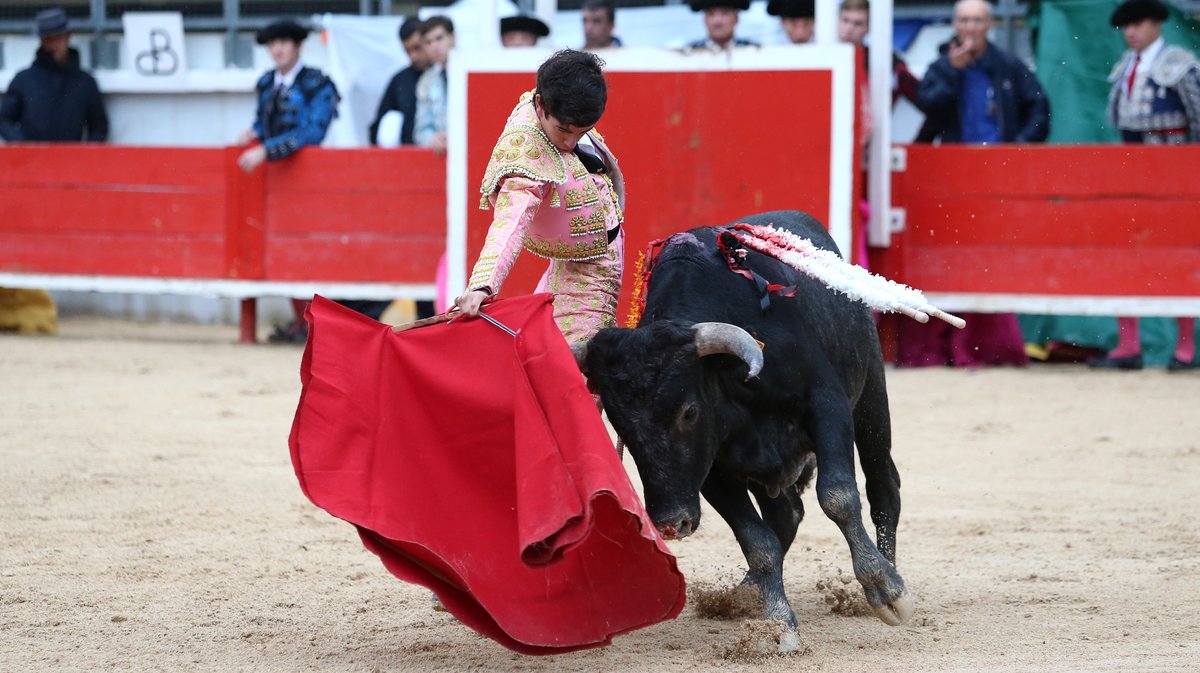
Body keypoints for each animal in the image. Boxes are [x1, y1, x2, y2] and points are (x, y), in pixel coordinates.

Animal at [576, 209, 912, 647]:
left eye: (688, 412)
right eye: (621, 427)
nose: (669, 523)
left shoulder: (827, 407)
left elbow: (838, 497)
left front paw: (883, 588)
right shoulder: (710, 471)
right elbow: (757, 540)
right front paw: (778, 623)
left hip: (871, 394)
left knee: (882, 486)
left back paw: (889, 576)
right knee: (786, 515)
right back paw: (748, 591)